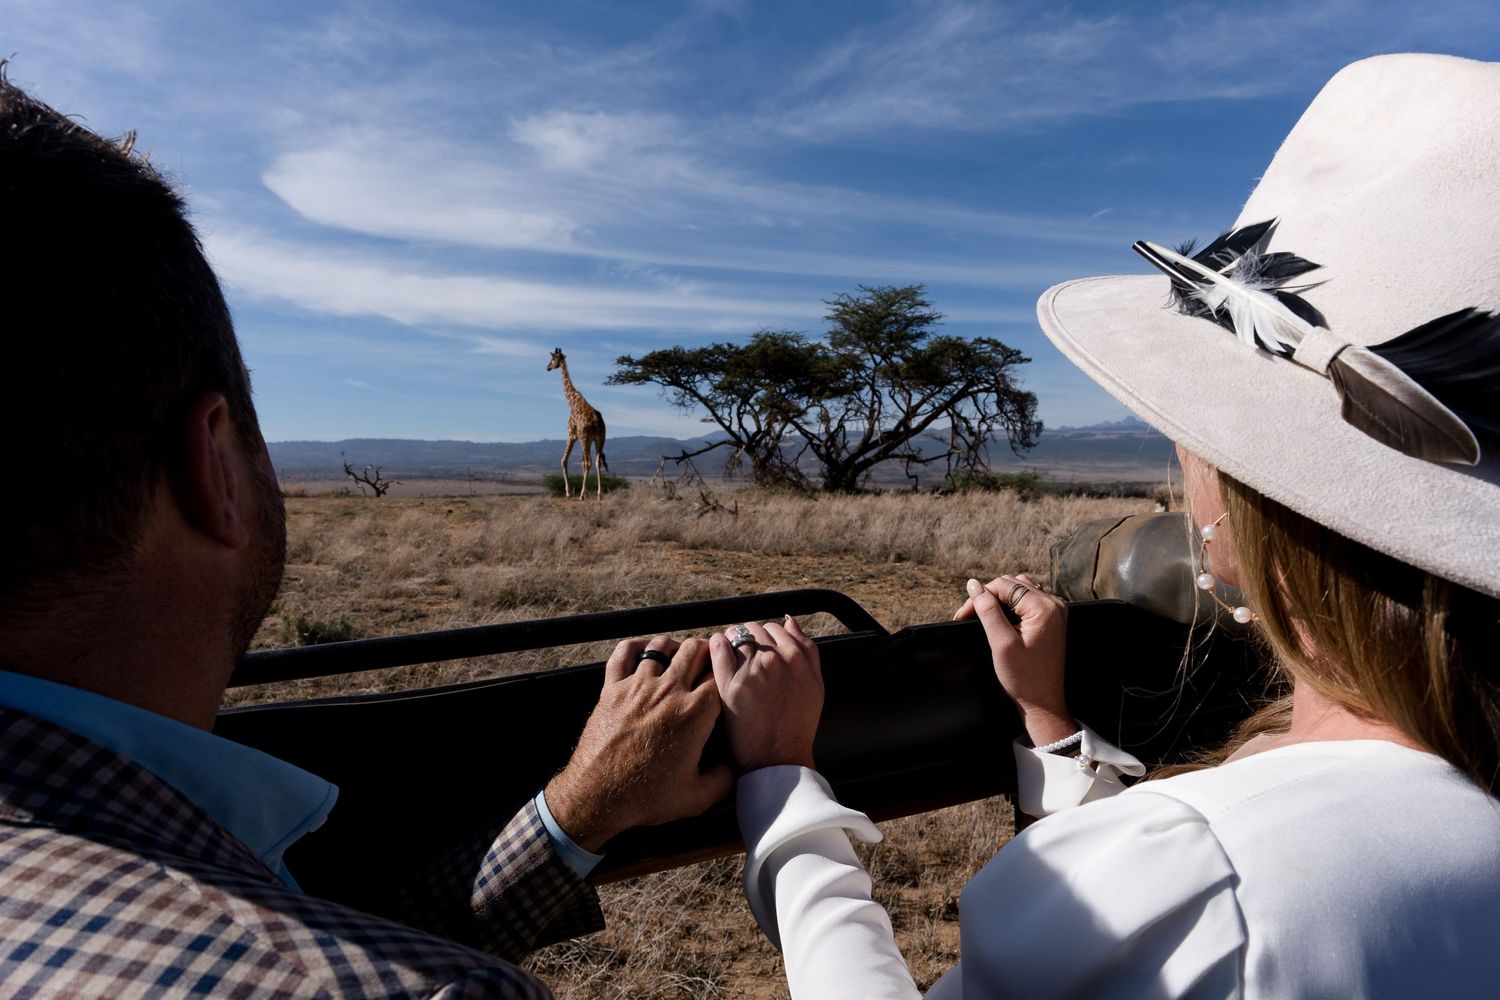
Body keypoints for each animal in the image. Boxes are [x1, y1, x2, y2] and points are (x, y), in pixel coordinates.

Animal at [546, 347, 609, 499]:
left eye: (552, 359)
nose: (547, 367)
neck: (572, 401)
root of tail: (597, 423)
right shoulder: (584, 439)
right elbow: (581, 463)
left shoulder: (572, 434)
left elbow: (564, 460)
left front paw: (569, 492)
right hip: (600, 439)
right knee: (597, 462)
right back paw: (599, 494)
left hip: (585, 439)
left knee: (589, 463)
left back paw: (581, 495)